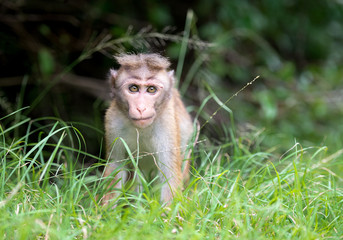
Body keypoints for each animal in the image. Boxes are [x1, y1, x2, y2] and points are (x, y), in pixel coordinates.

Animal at [101, 53, 194, 206]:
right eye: (133, 88)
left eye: (151, 89)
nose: (141, 108)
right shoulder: (113, 122)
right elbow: (116, 167)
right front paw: (103, 211)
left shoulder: (167, 124)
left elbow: (169, 175)